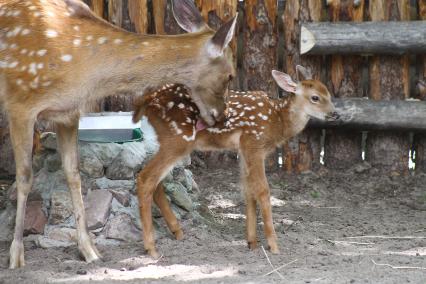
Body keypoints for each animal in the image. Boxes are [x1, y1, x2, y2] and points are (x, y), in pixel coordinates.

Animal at [0, 0, 236, 268]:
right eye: (230, 75)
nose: (221, 116)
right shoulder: (20, 104)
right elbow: (24, 177)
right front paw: (16, 255)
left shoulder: (67, 114)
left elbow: (73, 174)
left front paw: (89, 250)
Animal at [133, 66, 340, 258]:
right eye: (315, 97)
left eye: (329, 94)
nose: (335, 114)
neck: (277, 121)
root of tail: (147, 102)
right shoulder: (253, 144)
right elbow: (263, 190)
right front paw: (273, 245)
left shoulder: (243, 150)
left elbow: (248, 191)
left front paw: (252, 242)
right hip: (178, 139)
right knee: (145, 178)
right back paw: (151, 248)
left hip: (168, 140)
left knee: (156, 181)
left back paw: (177, 232)